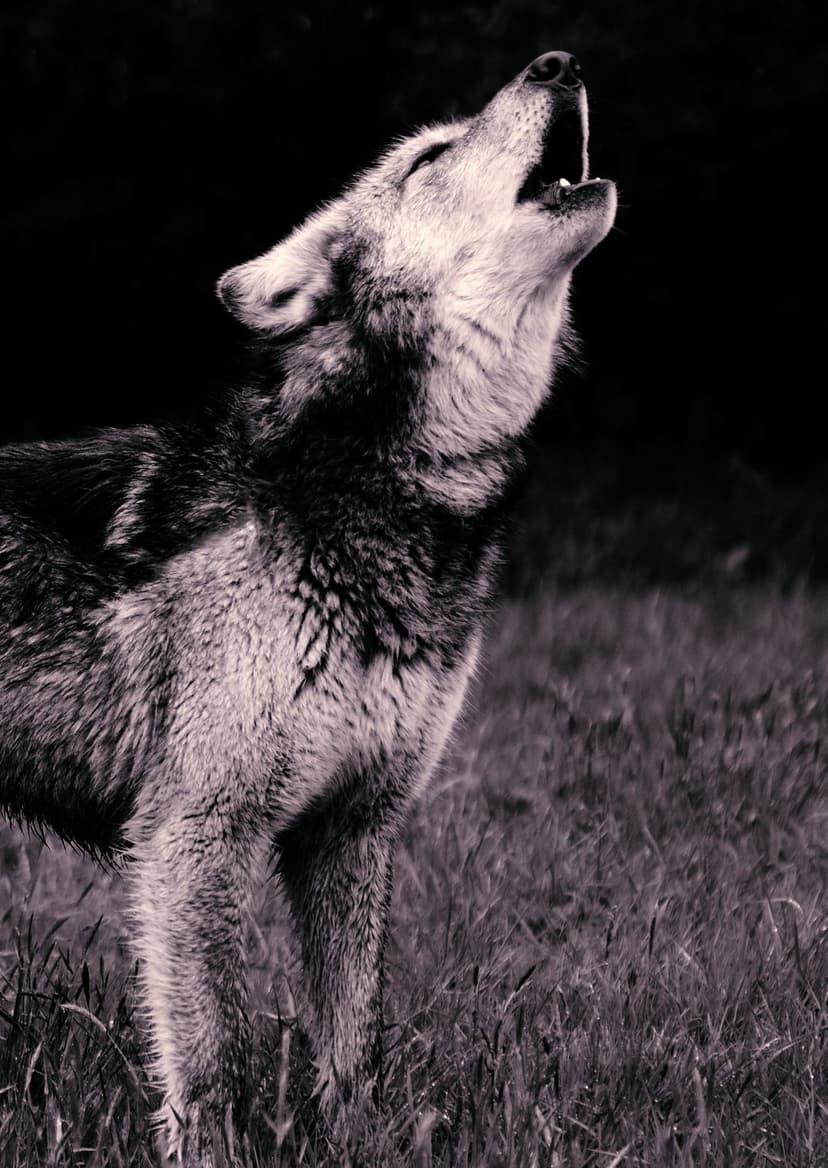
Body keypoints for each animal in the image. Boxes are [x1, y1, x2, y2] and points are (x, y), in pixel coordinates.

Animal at [0, 51, 615, 1162]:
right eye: (429, 156)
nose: (558, 61)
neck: (388, 495)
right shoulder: (193, 835)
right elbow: (211, 1061)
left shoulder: (353, 827)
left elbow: (351, 1043)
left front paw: (360, 1140)